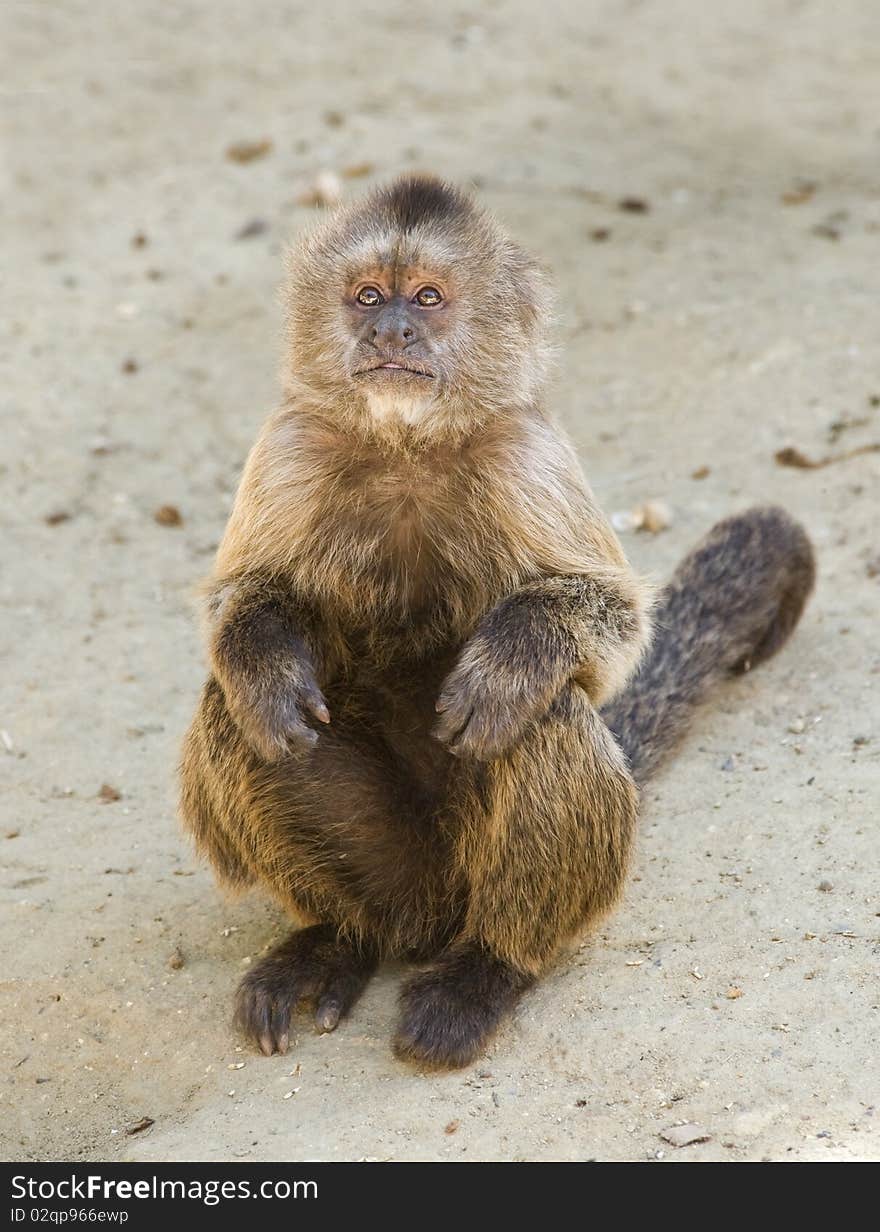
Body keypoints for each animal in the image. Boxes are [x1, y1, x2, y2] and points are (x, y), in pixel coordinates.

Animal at [176, 173, 808, 1069]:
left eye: (427, 298)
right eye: (366, 295)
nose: (391, 329)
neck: (404, 447)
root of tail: (424, 915)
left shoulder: (527, 456)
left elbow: (611, 628)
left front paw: (512, 662)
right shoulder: (289, 447)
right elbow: (236, 602)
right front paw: (266, 663)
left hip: (471, 869)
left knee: (548, 722)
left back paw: (490, 966)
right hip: (387, 858)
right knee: (234, 718)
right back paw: (337, 937)